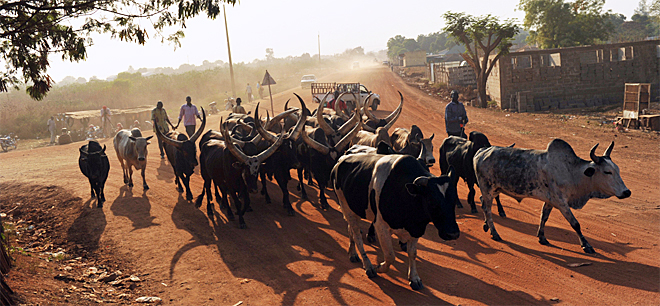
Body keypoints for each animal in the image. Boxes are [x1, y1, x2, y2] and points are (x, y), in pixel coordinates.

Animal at [330, 154, 458, 290]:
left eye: (454, 200)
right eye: (432, 201)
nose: (453, 234)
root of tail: (341, 159)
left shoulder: (415, 229)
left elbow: (412, 253)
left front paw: (414, 278)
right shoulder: (381, 226)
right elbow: (390, 256)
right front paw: (379, 267)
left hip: (354, 210)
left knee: (351, 231)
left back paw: (352, 253)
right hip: (345, 206)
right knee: (357, 235)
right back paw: (368, 266)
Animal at [474, 139, 628, 253]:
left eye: (618, 170)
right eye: (607, 172)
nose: (627, 192)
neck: (572, 172)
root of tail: (481, 152)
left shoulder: (550, 201)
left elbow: (544, 217)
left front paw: (542, 237)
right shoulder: (561, 202)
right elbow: (575, 224)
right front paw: (586, 245)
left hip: (495, 190)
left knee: (483, 202)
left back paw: (486, 225)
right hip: (487, 188)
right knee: (487, 209)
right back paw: (495, 233)